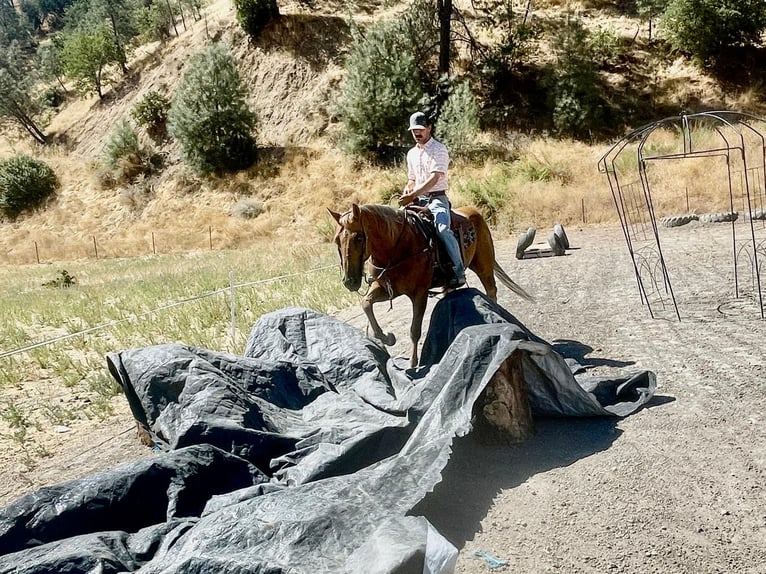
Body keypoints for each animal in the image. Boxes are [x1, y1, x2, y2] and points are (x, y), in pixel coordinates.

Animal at [330, 204, 536, 368]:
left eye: (358, 238)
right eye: (336, 240)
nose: (349, 281)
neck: (398, 247)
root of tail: (474, 212)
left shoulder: (419, 293)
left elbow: (414, 330)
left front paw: (413, 363)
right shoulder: (386, 289)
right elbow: (366, 303)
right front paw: (386, 337)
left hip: (483, 265)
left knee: (491, 291)